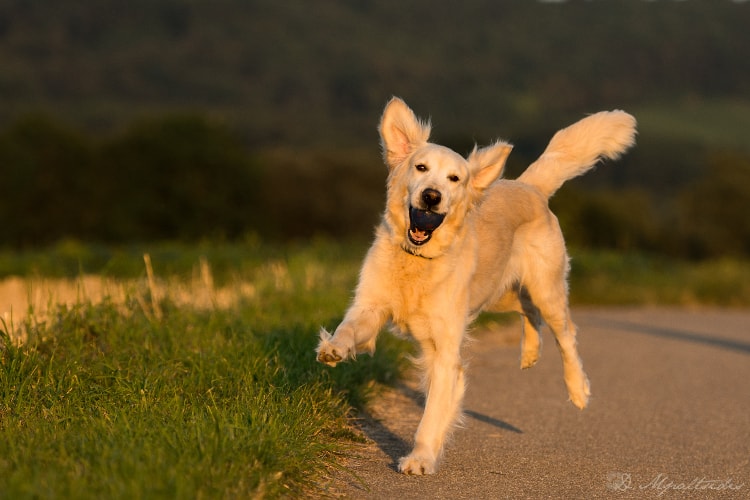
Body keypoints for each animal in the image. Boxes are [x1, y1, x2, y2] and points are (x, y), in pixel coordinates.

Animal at [314, 98, 636, 476]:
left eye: (455, 178)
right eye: (420, 167)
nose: (432, 196)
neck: (419, 261)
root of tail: (528, 186)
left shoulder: (444, 348)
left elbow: (433, 412)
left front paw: (421, 458)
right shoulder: (371, 306)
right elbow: (349, 328)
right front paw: (333, 348)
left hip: (547, 289)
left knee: (566, 334)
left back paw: (578, 390)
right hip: (499, 293)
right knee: (529, 311)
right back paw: (530, 353)